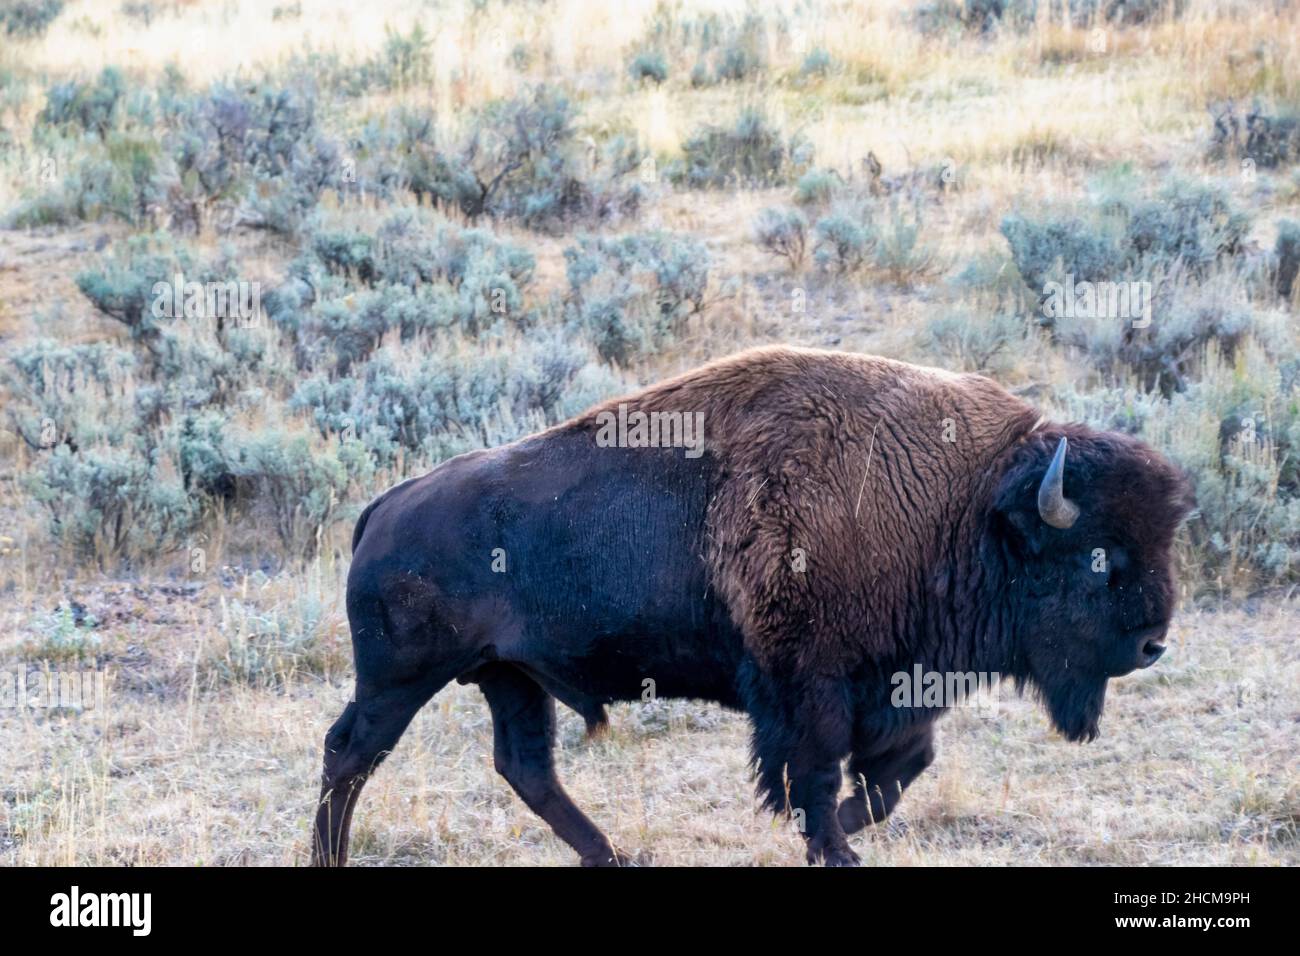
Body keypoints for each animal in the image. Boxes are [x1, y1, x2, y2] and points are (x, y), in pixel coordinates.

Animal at [309, 343, 1190, 868]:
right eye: (1098, 556)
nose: (1154, 644)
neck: (963, 506)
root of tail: (384, 507)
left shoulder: (896, 690)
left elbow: (897, 774)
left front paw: (844, 833)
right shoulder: (811, 684)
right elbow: (818, 772)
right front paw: (834, 848)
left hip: (509, 679)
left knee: (524, 766)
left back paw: (610, 856)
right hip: (403, 677)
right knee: (351, 751)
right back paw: (330, 856)